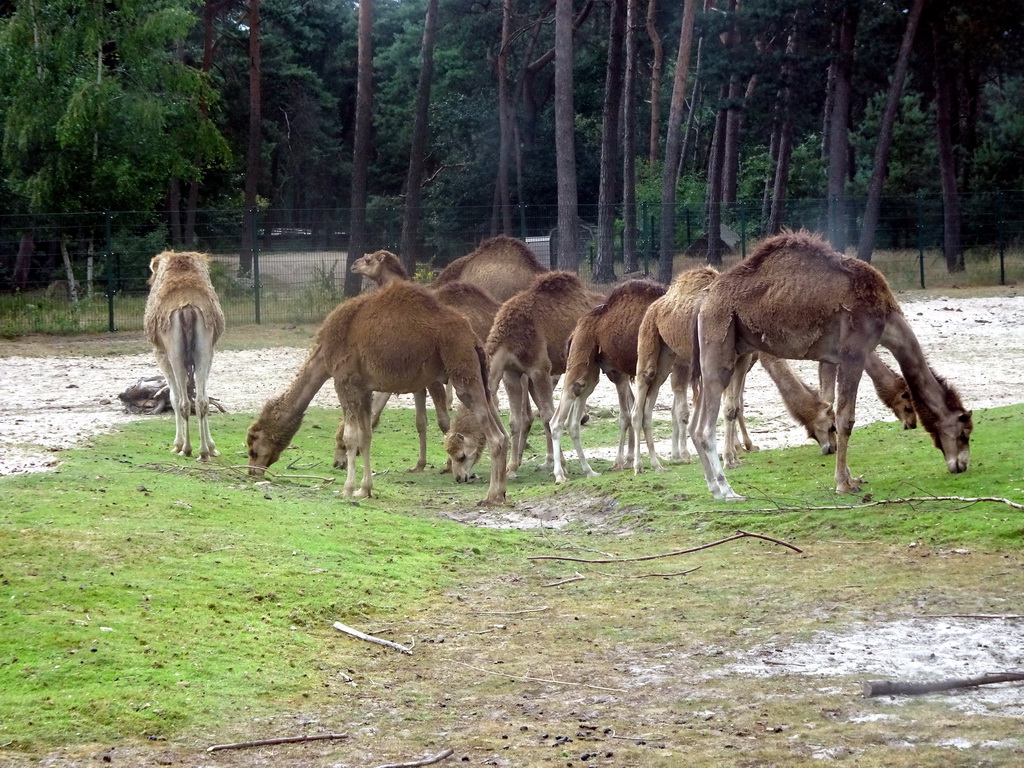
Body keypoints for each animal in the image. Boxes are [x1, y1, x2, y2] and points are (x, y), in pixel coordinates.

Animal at [142, 250, 224, 462]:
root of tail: (187, 308)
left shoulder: (160, 354)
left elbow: (172, 397)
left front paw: (177, 444)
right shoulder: (208, 353)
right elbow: (202, 395)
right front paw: (212, 447)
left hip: (174, 353)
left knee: (183, 401)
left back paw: (185, 448)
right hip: (204, 349)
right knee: (201, 400)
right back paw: (204, 452)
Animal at [243, 280, 507, 505]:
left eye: (253, 445)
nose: (252, 471)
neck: (324, 353)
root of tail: (473, 338)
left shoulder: (344, 381)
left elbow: (351, 437)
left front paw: (348, 489)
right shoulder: (364, 388)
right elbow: (366, 435)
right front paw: (365, 489)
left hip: (462, 372)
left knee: (495, 436)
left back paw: (490, 496)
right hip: (479, 376)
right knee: (502, 432)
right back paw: (501, 493)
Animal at [548, 278, 667, 481]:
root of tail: (574, 332)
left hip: (592, 371)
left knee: (573, 419)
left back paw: (589, 471)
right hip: (581, 357)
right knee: (556, 421)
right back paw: (560, 475)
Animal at [688, 231, 966, 501]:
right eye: (964, 432)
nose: (961, 465)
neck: (886, 316)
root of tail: (704, 302)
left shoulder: (834, 358)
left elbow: (831, 408)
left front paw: (851, 478)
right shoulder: (854, 353)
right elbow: (846, 418)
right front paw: (843, 485)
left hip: (727, 353)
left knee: (697, 423)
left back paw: (714, 488)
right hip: (720, 341)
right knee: (704, 428)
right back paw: (728, 491)